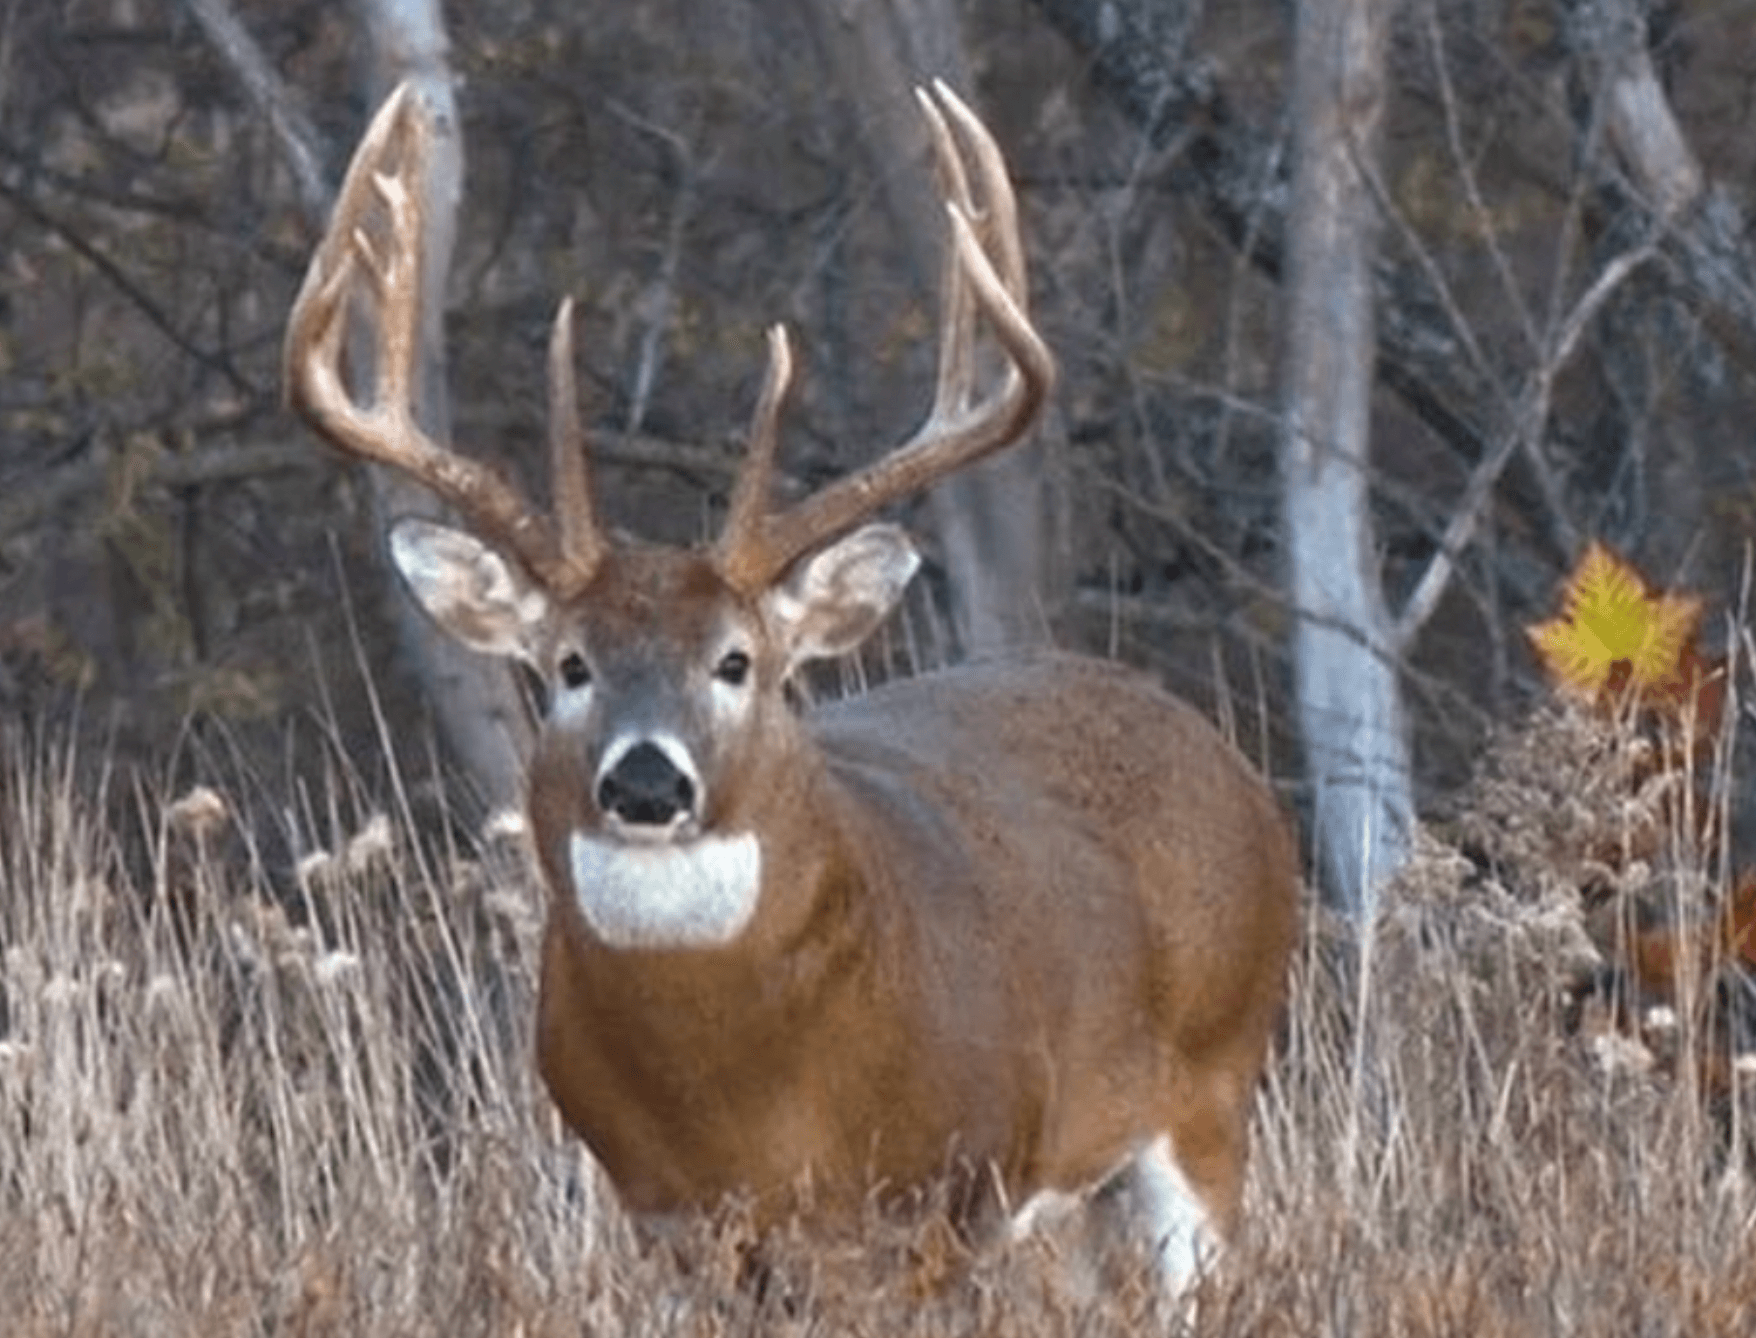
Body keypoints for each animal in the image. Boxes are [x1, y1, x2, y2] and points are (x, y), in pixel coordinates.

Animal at [283, 80, 1301, 1296]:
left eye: (738, 660)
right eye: (570, 664)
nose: (645, 781)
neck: (750, 1097)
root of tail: (1224, 761)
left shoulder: (949, 1194)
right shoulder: (676, 1226)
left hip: (1210, 1094)